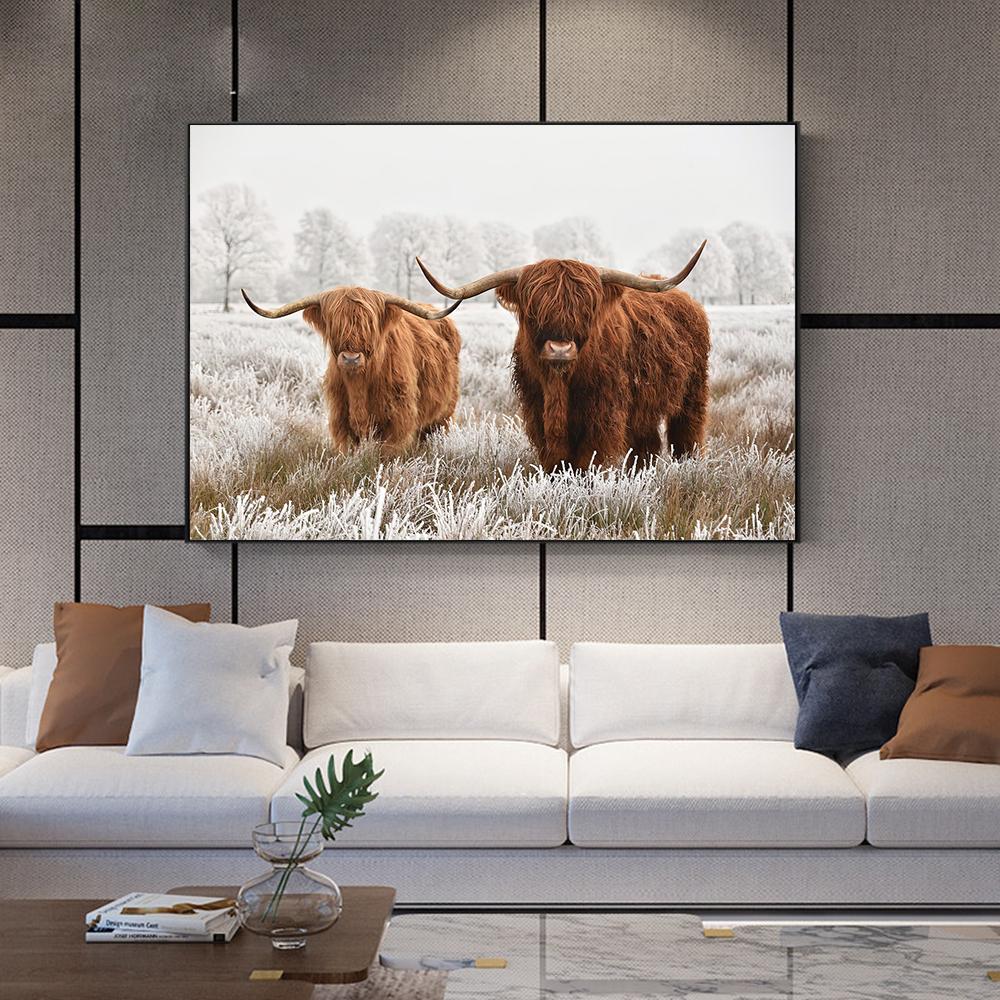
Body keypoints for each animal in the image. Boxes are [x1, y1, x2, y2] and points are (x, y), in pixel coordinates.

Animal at [241, 285, 461, 457]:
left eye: (369, 325)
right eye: (335, 324)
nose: (351, 358)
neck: (359, 385)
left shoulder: (398, 421)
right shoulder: (341, 419)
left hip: (444, 414)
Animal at [415, 243, 709, 471]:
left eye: (586, 309)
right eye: (533, 309)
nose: (559, 349)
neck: (559, 385)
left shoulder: (603, 414)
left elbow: (589, 460)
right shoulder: (537, 411)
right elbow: (556, 461)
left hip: (693, 393)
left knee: (686, 434)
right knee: (647, 445)